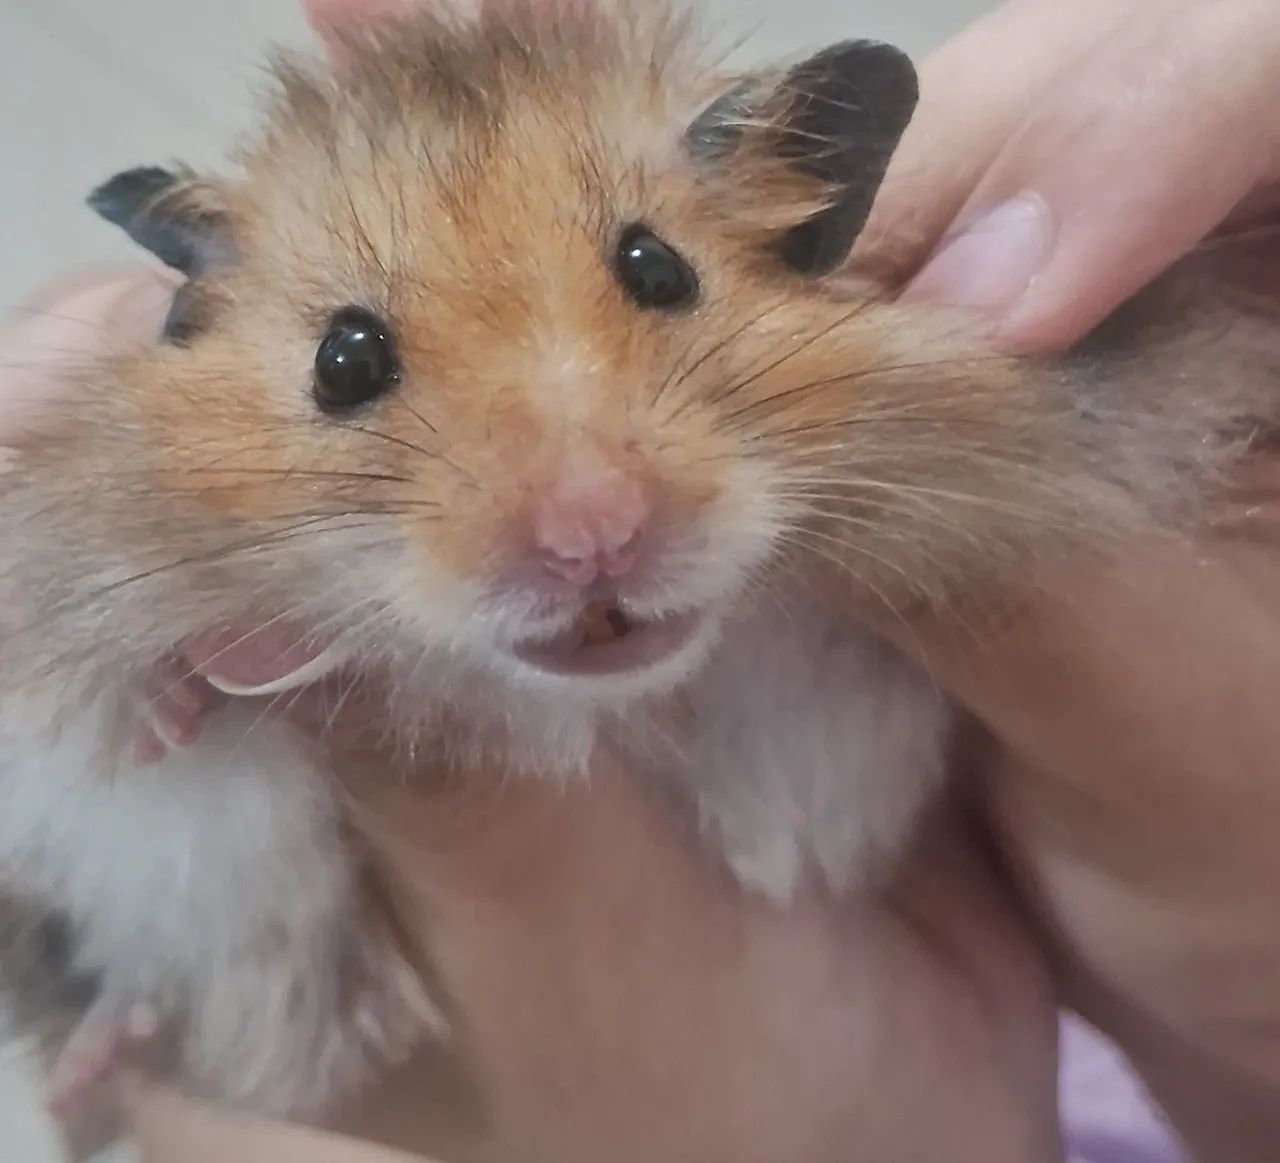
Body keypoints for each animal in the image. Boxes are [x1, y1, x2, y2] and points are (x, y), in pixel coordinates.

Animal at [3, 0, 1279, 1122]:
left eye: (656, 267)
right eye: (344, 357)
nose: (591, 536)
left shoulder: (838, 722)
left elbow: (801, 786)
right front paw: (178, 703)